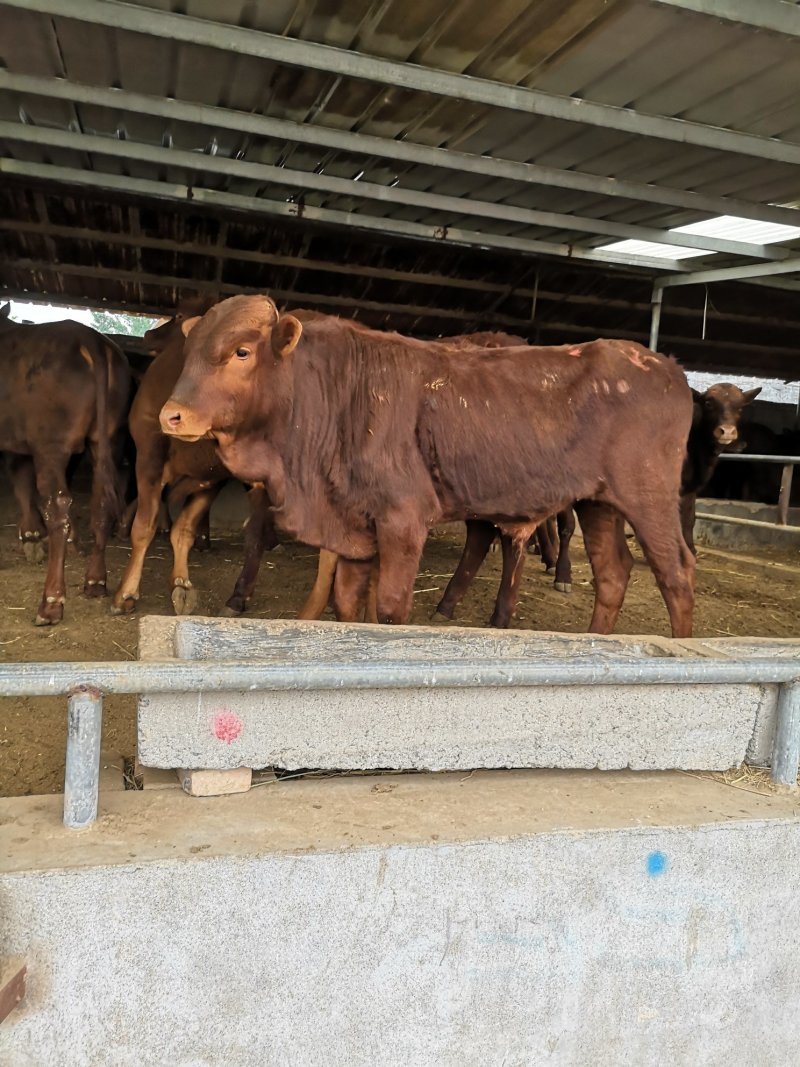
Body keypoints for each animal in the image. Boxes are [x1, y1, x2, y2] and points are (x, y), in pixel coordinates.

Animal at [0, 303, 133, 623]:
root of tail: (91, 339)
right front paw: (32, 534)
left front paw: (31, 535)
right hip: (109, 438)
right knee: (101, 504)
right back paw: (95, 580)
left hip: (51, 445)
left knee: (57, 505)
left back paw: (51, 602)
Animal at [161, 296, 695, 635]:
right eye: (189, 353)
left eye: (241, 351)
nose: (172, 415)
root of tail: (664, 364)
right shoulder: (354, 528)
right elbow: (346, 603)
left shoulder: (403, 521)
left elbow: (390, 609)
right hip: (598, 502)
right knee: (613, 574)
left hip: (648, 498)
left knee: (676, 575)